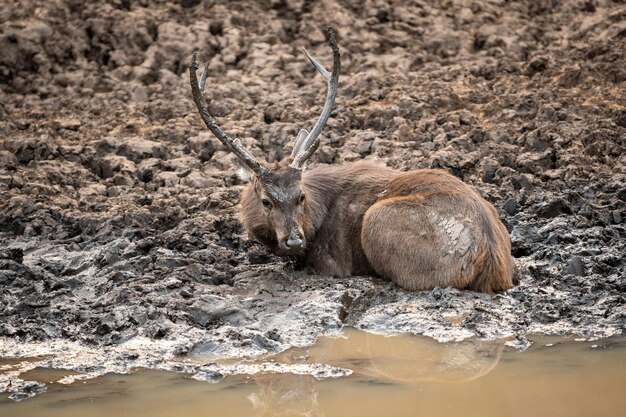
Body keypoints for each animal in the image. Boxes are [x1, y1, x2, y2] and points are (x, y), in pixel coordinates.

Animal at [188, 26, 516, 292]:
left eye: (300, 196)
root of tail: (491, 260)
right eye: (266, 201)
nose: (294, 241)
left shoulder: (330, 263)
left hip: (377, 221)